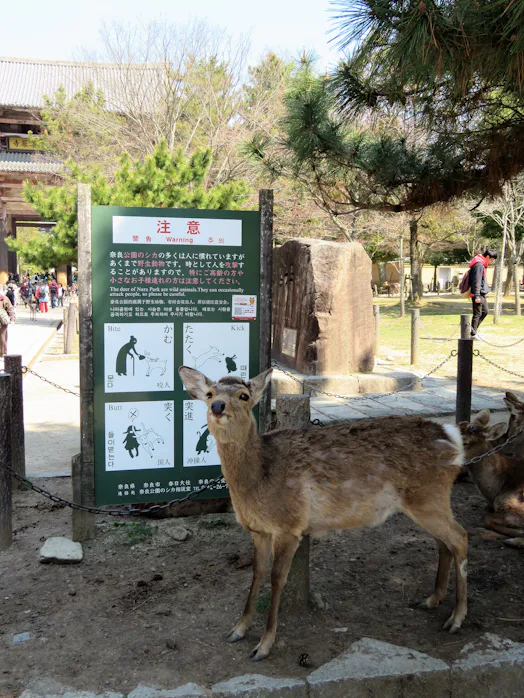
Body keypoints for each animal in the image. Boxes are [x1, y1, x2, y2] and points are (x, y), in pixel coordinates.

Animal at [179, 366, 468, 662]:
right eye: (210, 393)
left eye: (244, 395)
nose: (217, 406)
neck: (258, 481)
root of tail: (453, 439)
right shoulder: (258, 530)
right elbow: (257, 572)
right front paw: (238, 629)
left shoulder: (289, 526)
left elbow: (276, 578)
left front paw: (264, 645)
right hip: (428, 502)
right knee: (443, 542)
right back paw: (432, 599)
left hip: (428, 497)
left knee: (460, 537)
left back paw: (456, 619)